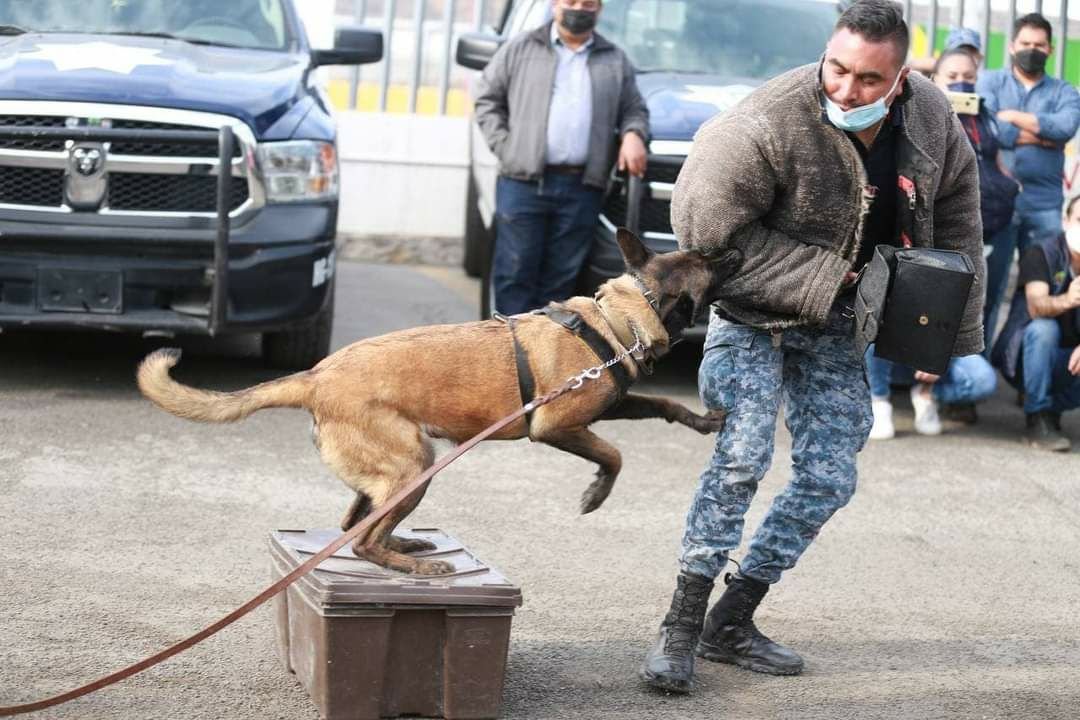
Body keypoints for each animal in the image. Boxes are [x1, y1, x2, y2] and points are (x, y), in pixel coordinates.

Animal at [137, 229, 737, 575]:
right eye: (706, 262)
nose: (732, 249)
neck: (617, 320)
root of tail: (316, 376)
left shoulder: (607, 403)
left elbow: (659, 403)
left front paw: (702, 418)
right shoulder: (558, 425)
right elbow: (614, 455)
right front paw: (595, 494)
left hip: (389, 474)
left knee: (355, 523)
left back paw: (405, 548)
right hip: (415, 466)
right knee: (362, 541)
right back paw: (413, 566)